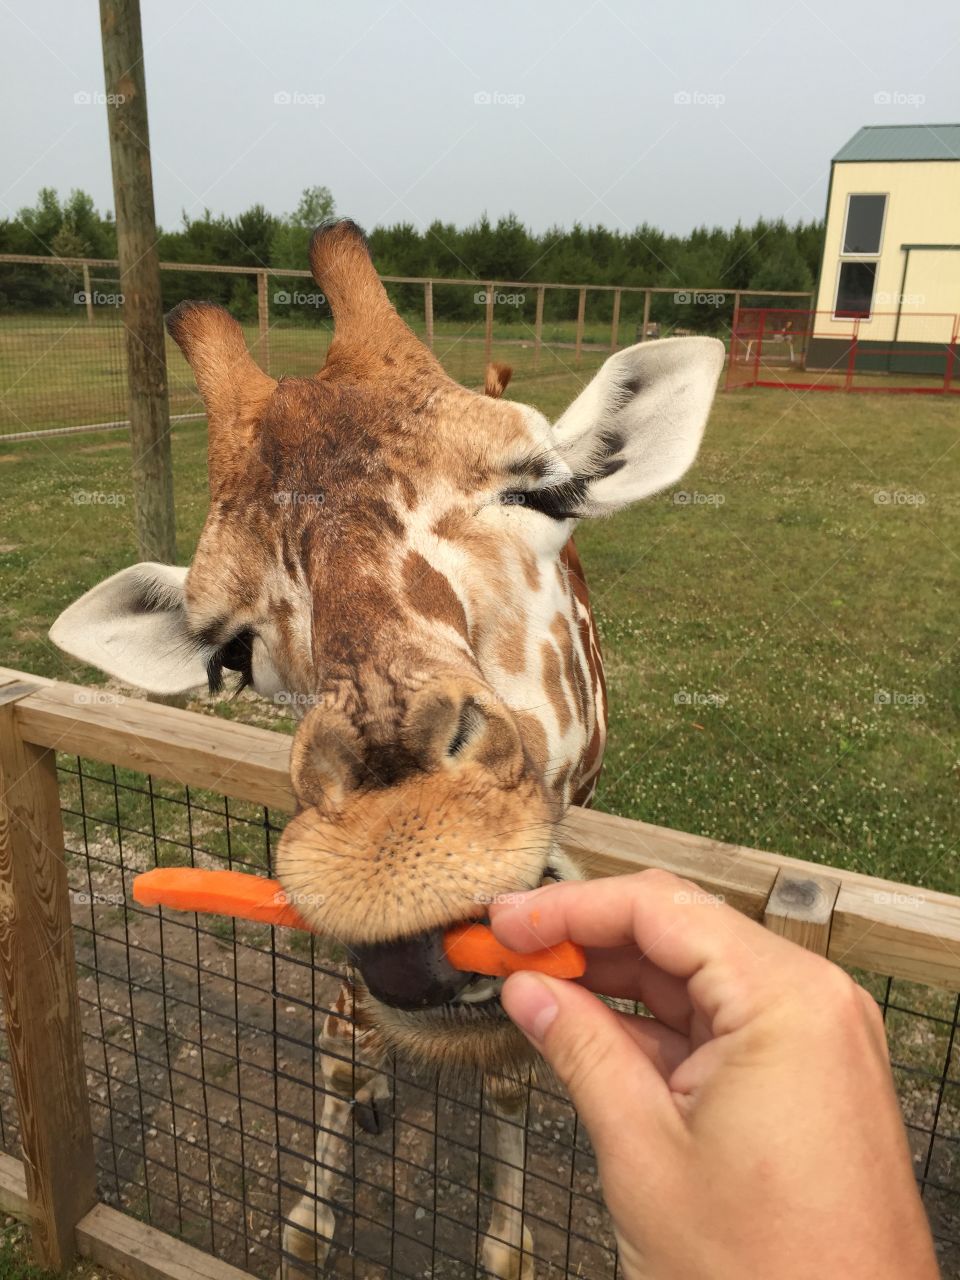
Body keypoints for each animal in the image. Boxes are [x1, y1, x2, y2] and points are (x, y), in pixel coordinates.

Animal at [50, 217, 721, 1269]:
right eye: (229, 649)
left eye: (545, 493)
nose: (400, 859)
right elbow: (342, 1041)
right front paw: (311, 1217)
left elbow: (509, 1074)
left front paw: (507, 1247)